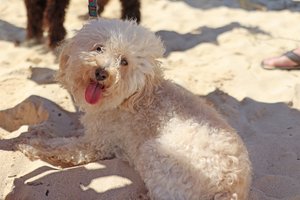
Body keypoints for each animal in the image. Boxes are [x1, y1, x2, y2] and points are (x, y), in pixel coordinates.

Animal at [19, 18, 252, 200]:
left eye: (124, 62)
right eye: (98, 48)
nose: (101, 72)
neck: (133, 99)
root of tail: (229, 189)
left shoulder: (97, 144)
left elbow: (61, 147)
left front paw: (31, 144)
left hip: (154, 152)